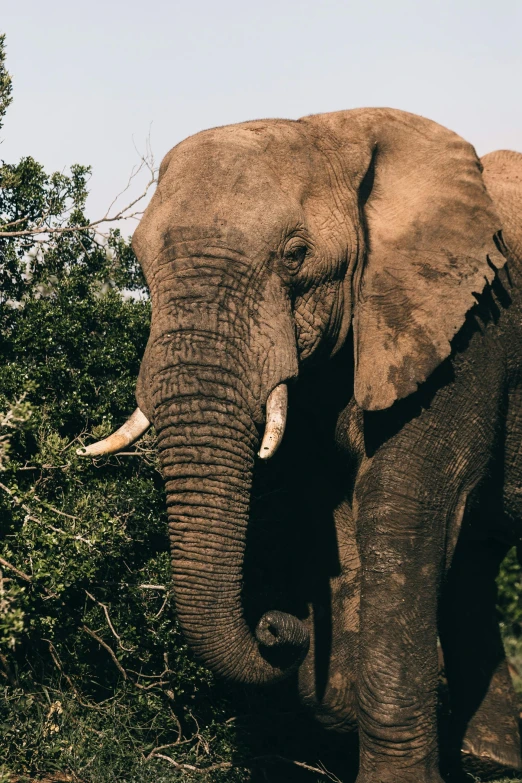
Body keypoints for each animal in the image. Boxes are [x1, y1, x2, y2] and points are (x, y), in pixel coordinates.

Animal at [79, 112, 520, 783]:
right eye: (138, 261)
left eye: (295, 256)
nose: (278, 625)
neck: (337, 129)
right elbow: (333, 508)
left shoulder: (467, 327)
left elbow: (400, 506)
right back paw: (490, 759)